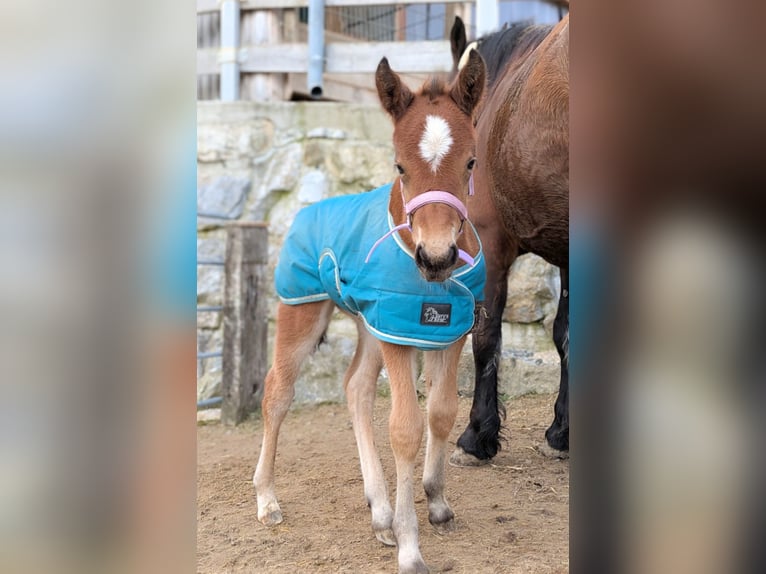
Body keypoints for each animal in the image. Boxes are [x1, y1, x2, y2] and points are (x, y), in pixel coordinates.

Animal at [254, 53, 487, 574]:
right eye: (399, 165)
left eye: (470, 162)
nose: (436, 257)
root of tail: (306, 210)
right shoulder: (398, 333)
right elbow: (404, 428)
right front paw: (410, 547)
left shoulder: (447, 331)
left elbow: (442, 412)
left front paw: (436, 502)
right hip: (302, 310)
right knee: (278, 391)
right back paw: (267, 499)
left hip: (368, 324)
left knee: (355, 387)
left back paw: (379, 510)